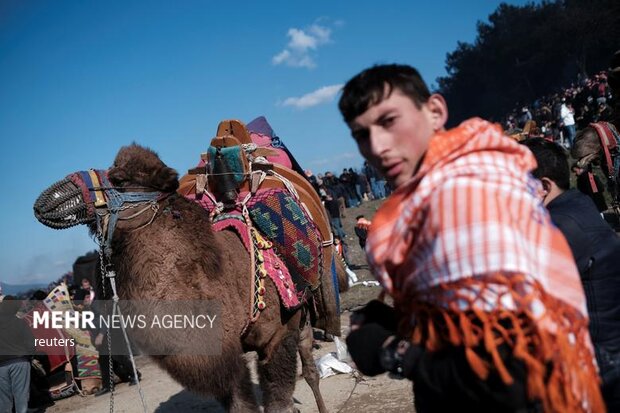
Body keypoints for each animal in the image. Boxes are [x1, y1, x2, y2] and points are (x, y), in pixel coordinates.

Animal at [34, 143, 344, 410]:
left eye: (119, 178)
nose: (49, 199)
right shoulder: (222, 360)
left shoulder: (276, 337)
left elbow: (279, 401)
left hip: (301, 314)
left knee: (310, 369)